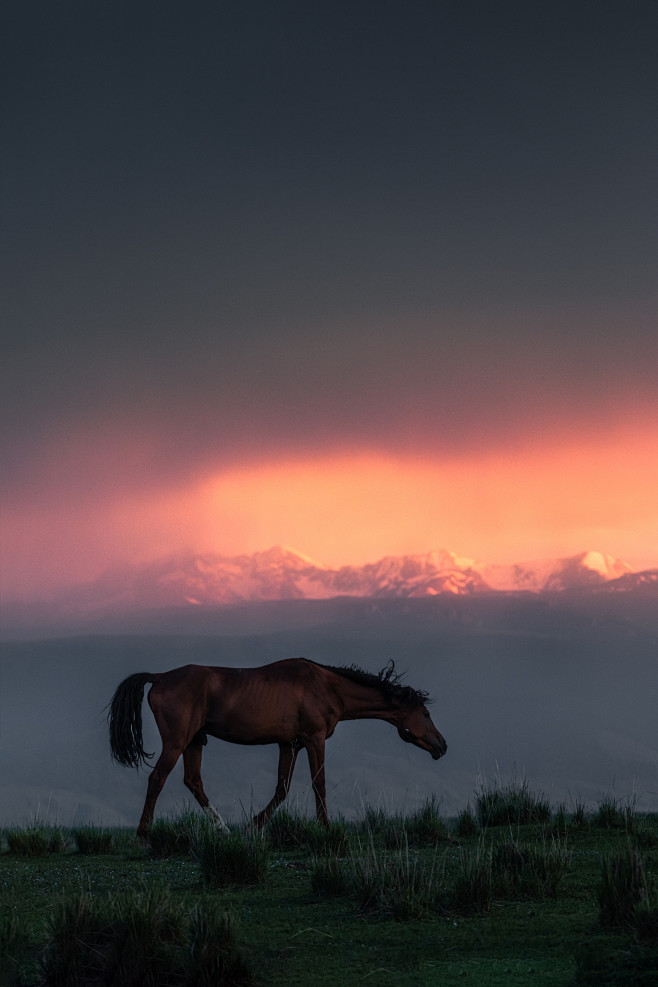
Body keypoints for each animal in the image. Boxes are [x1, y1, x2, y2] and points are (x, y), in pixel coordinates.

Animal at [107, 660, 446, 836]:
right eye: (425, 714)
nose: (442, 746)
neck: (328, 687)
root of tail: (160, 677)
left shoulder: (289, 744)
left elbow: (281, 789)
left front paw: (253, 825)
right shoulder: (313, 739)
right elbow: (319, 784)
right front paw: (326, 827)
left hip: (193, 742)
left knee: (193, 782)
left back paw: (223, 828)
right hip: (176, 743)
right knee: (157, 779)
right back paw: (143, 834)